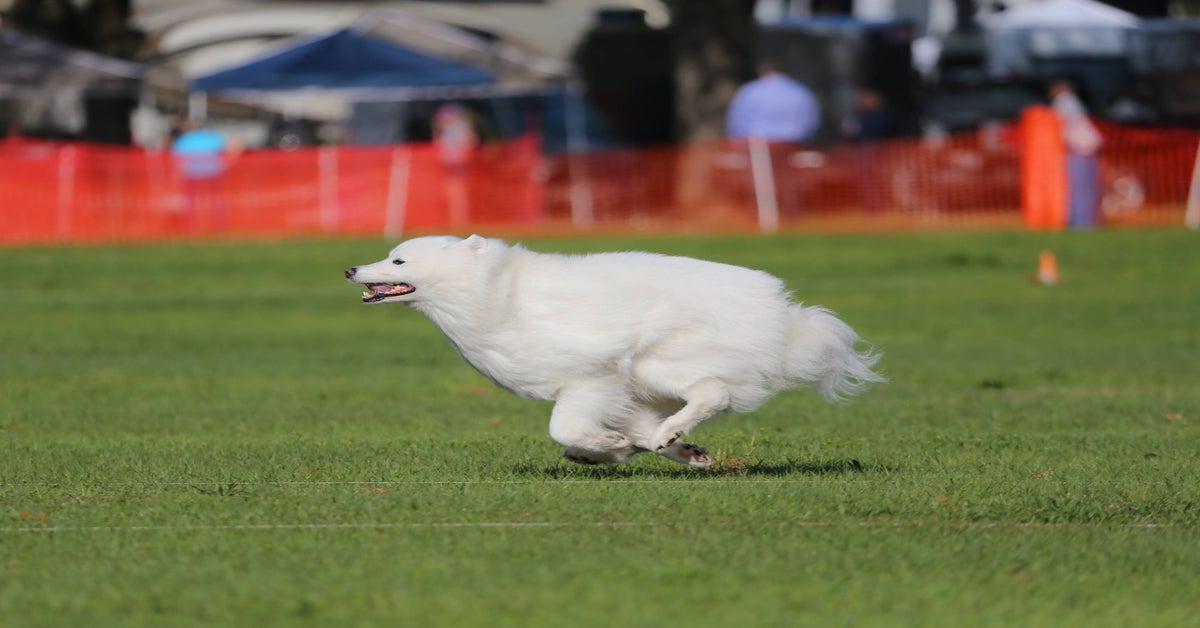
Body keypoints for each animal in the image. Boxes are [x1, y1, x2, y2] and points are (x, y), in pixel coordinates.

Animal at [348, 234, 883, 465]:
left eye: (398, 260)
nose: (350, 269)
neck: (496, 295)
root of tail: (783, 313)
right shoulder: (617, 391)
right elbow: (629, 433)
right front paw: (658, 450)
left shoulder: (593, 377)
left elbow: (564, 427)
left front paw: (610, 447)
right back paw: (675, 440)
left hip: (659, 361)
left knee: (714, 392)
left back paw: (672, 429)